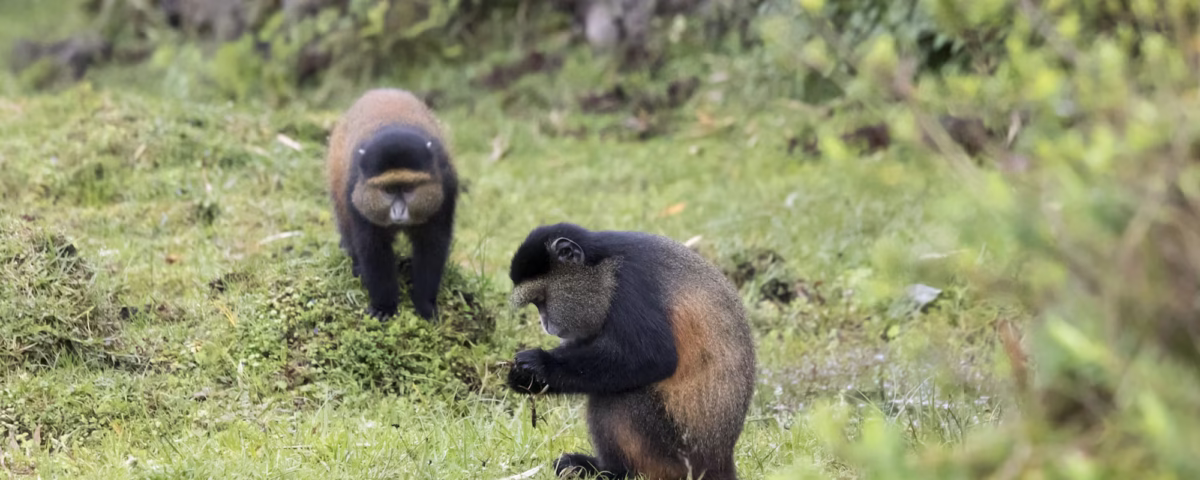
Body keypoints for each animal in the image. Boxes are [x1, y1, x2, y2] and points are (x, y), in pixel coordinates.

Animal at [326, 88, 458, 321]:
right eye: (388, 190)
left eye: (408, 189)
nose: (398, 211)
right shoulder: (357, 195)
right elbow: (372, 248)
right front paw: (384, 306)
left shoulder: (445, 187)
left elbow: (432, 245)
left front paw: (425, 304)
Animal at [505, 222, 756, 480]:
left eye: (541, 300)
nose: (545, 324)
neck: (605, 264)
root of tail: (719, 461)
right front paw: (523, 378)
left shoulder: (631, 283)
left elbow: (652, 358)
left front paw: (539, 365)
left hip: (671, 454)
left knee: (616, 397)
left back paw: (612, 471)